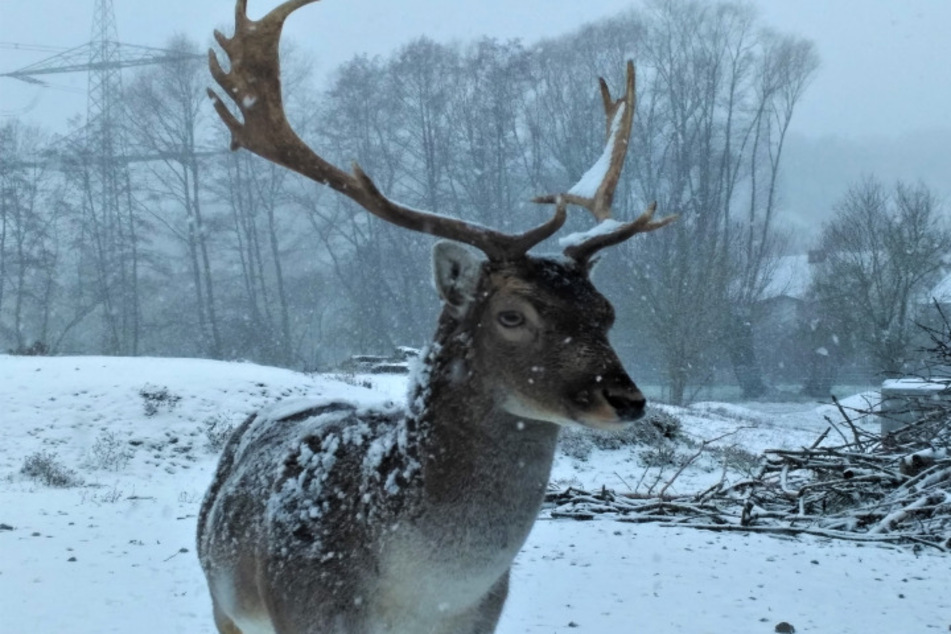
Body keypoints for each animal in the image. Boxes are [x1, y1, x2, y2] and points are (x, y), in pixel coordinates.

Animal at [197, 1, 676, 632]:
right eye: (512, 315)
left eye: (607, 312)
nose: (625, 398)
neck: (427, 595)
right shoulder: (307, 608)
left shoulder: (485, 616)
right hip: (222, 599)